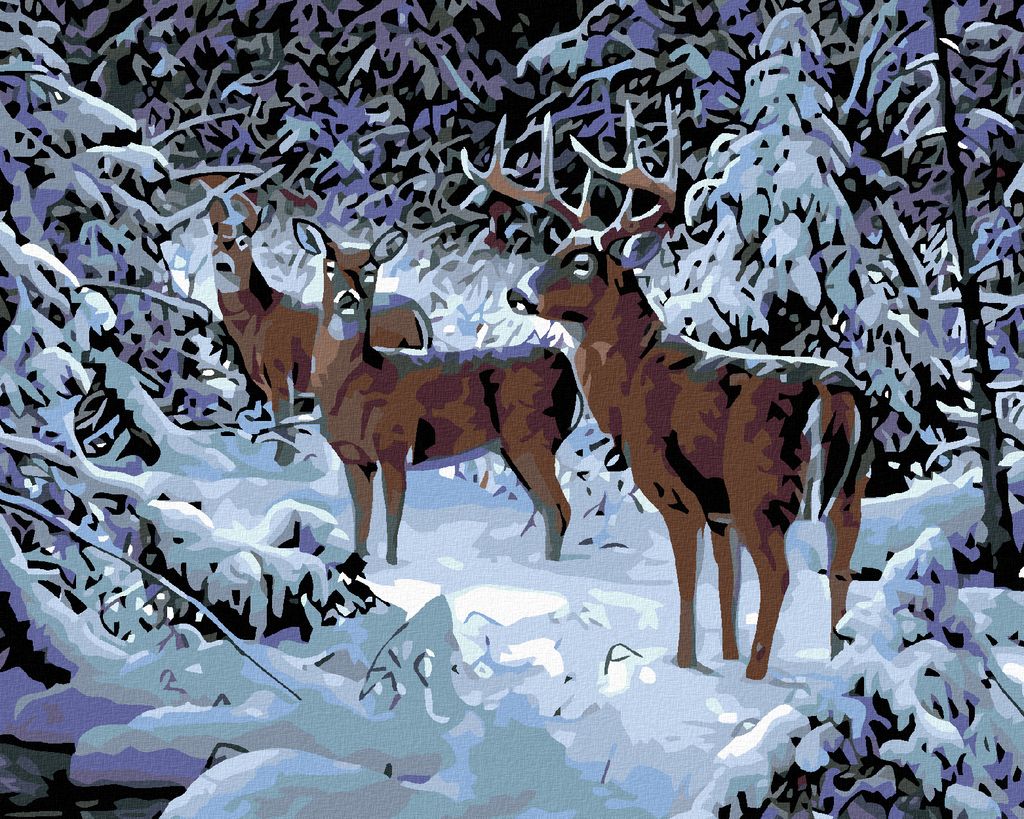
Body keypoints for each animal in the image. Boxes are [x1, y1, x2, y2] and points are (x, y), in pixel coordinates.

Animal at [291, 218, 580, 565]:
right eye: (329, 265)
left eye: (371, 269)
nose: (348, 298)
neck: (363, 380)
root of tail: (565, 367)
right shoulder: (354, 455)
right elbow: (362, 518)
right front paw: (359, 560)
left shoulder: (394, 443)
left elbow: (392, 516)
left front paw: (390, 566)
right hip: (517, 446)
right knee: (547, 507)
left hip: (531, 438)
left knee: (559, 508)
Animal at [462, 107, 873, 680]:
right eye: (558, 248)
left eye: (584, 262)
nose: (517, 293)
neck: (631, 384)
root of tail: (833, 392)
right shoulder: (720, 510)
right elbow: (726, 583)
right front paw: (725, 655)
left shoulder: (677, 492)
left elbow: (688, 583)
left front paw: (687, 664)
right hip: (851, 487)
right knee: (840, 568)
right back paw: (839, 663)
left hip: (763, 487)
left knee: (780, 576)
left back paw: (758, 677)